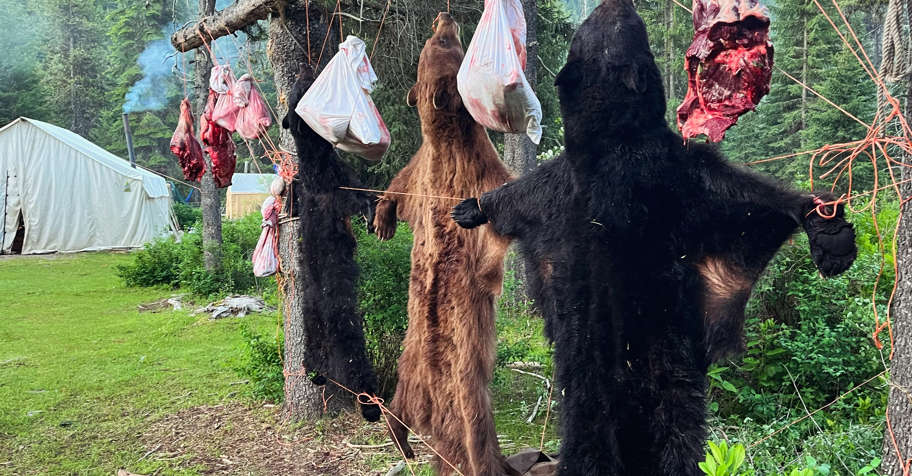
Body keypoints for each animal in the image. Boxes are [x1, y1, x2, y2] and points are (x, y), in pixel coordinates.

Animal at [281, 64, 381, 423]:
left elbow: (293, 199)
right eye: (298, 91)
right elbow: (357, 196)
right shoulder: (334, 188)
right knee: (354, 356)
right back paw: (371, 406)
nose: (304, 72)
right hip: (341, 315)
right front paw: (372, 212)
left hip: (309, 318)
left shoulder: (307, 186)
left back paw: (315, 374)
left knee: (312, 352)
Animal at [372, 12, 518, 476]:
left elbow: (502, 192)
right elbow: (399, 185)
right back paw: (402, 438)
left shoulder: (475, 165)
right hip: (408, 366)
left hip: (462, 375)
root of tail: (431, 419)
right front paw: (381, 220)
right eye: (440, 42)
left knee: (470, 425)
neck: (446, 140)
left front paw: (471, 212)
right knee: (398, 410)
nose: (445, 16)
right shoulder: (425, 168)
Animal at [451, 0, 857, 474]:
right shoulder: (664, 171)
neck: (613, 141)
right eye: (612, 26)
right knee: (673, 434)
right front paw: (827, 227)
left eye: (594, 27)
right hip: (654, 375)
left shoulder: (580, 184)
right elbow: (747, 199)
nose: (615, 2)